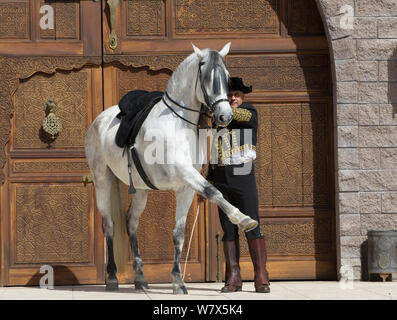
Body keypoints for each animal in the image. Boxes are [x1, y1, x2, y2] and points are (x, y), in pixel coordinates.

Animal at [83, 43, 256, 296]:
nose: (225, 116)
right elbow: (214, 192)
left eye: (225, 77)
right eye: (207, 78)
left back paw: (140, 278)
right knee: (109, 226)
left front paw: (178, 281)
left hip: (141, 190)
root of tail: (100, 120)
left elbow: (178, 233)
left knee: (131, 223)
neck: (179, 123)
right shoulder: (185, 174)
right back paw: (113, 278)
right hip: (102, 181)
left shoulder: (185, 188)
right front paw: (242, 218)